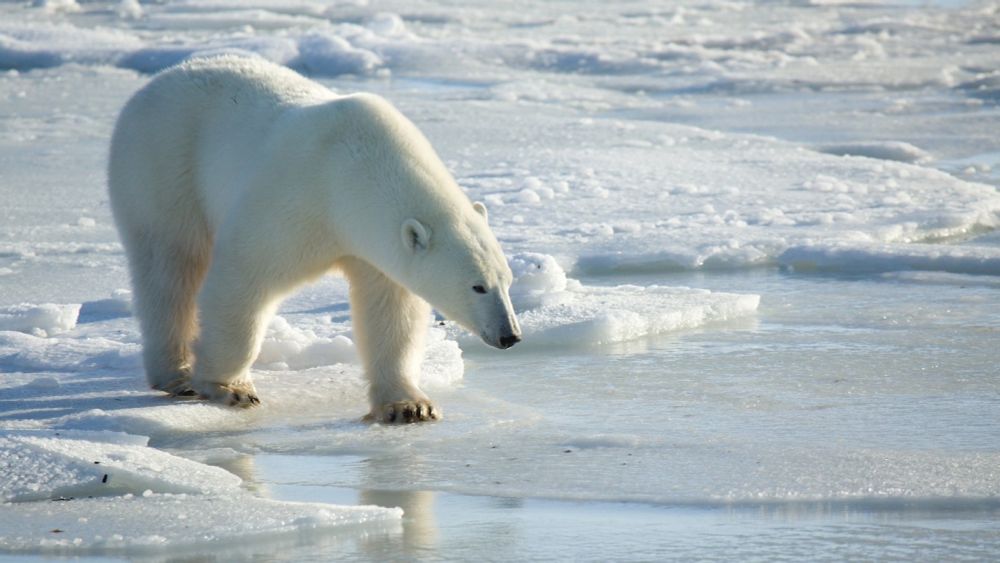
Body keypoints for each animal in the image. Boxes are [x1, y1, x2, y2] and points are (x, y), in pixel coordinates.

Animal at [105, 56, 520, 424]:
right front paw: (230, 387)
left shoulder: (372, 246)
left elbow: (390, 311)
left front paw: (409, 405)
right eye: (478, 286)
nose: (510, 335)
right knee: (170, 266)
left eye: (507, 281)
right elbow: (243, 278)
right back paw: (177, 375)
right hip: (162, 166)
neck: (351, 172)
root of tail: (157, 81)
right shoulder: (296, 200)